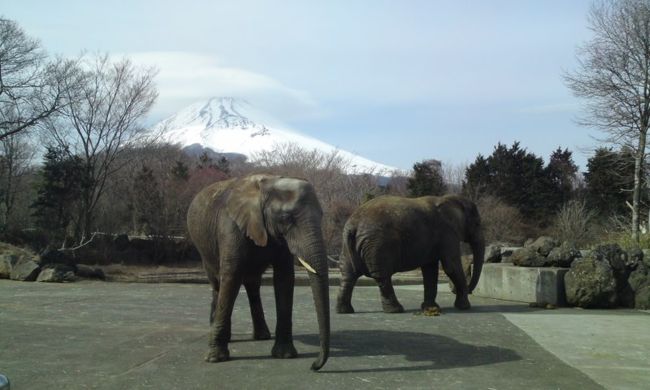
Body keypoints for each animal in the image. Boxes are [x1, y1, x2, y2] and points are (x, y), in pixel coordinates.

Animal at [186, 174, 330, 372]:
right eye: (286, 218)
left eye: (322, 215)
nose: (313, 365)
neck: (268, 184)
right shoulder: (230, 226)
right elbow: (231, 276)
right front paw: (215, 358)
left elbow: (284, 278)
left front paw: (285, 355)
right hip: (204, 249)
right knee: (218, 284)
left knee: (252, 286)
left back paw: (262, 336)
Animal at [334, 195, 480, 314]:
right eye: (477, 221)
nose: (470, 289)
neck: (449, 199)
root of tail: (353, 225)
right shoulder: (447, 233)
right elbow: (451, 266)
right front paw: (465, 307)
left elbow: (430, 269)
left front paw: (430, 308)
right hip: (378, 245)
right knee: (382, 276)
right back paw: (396, 310)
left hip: (349, 246)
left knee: (348, 275)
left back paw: (345, 311)